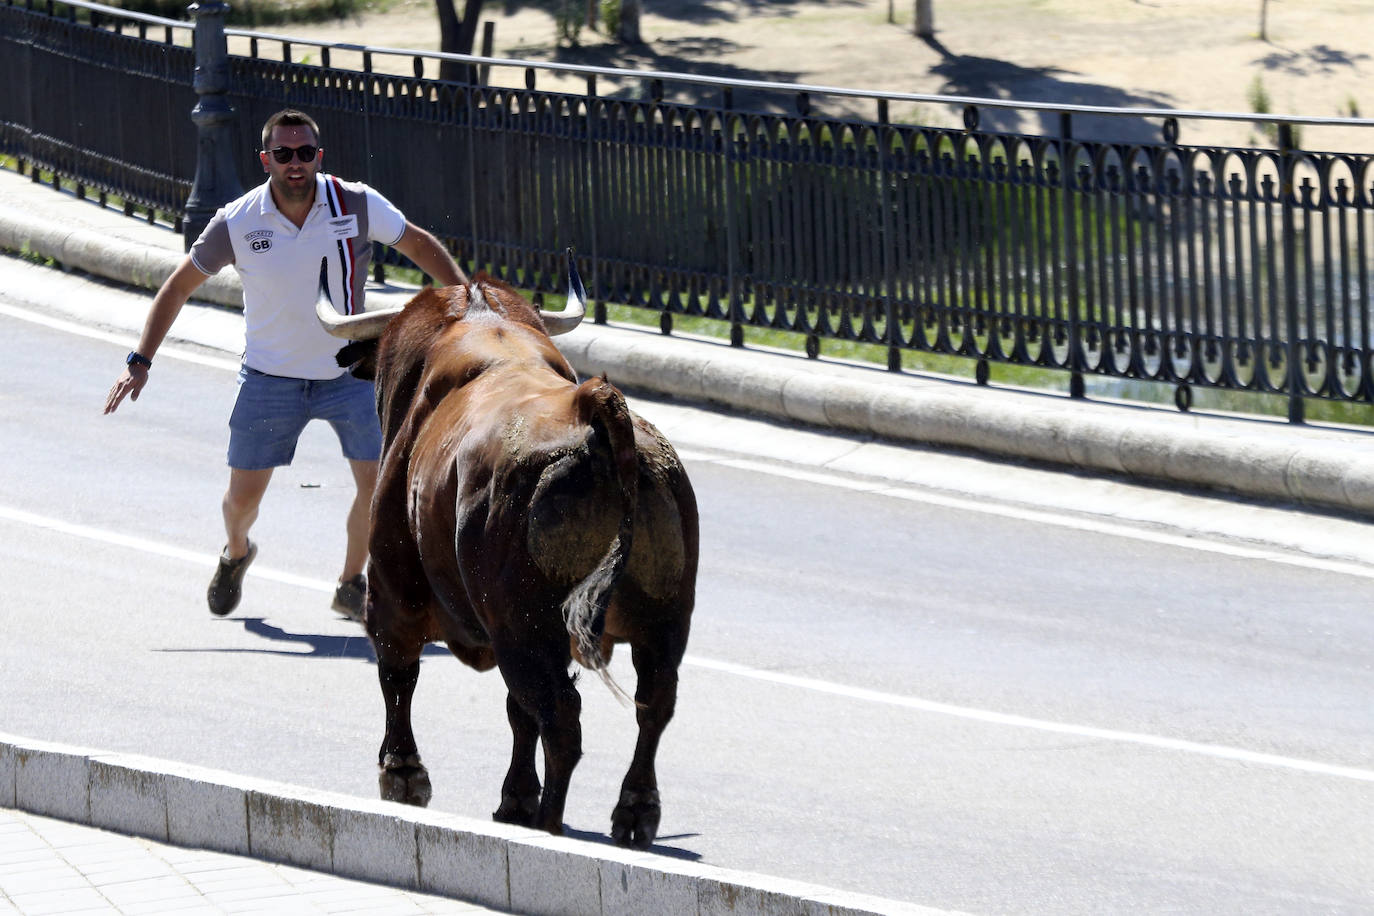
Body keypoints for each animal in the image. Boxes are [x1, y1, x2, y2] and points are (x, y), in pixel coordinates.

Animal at [314, 252, 692, 851]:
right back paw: (633, 811)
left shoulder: (392, 591)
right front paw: (515, 796)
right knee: (651, 705)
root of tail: (593, 408)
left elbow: (398, 674)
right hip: (661, 621)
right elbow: (518, 712)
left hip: (525, 624)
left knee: (561, 717)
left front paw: (403, 774)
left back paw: (551, 824)